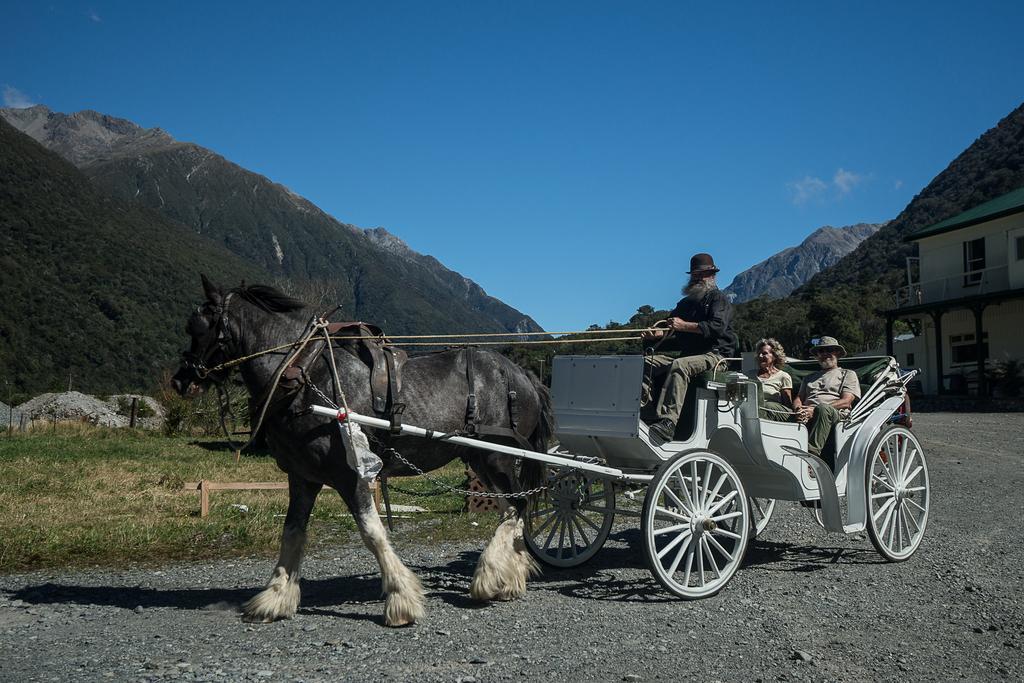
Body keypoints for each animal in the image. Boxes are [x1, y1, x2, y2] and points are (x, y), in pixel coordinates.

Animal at [172, 274, 552, 626]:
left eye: (196, 326)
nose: (180, 380)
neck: (304, 374)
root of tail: (522, 374)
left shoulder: (349, 474)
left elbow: (372, 533)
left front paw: (401, 599)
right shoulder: (302, 476)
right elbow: (292, 533)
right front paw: (276, 596)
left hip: (496, 455)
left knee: (517, 506)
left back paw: (489, 577)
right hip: (480, 458)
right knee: (511, 509)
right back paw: (511, 577)